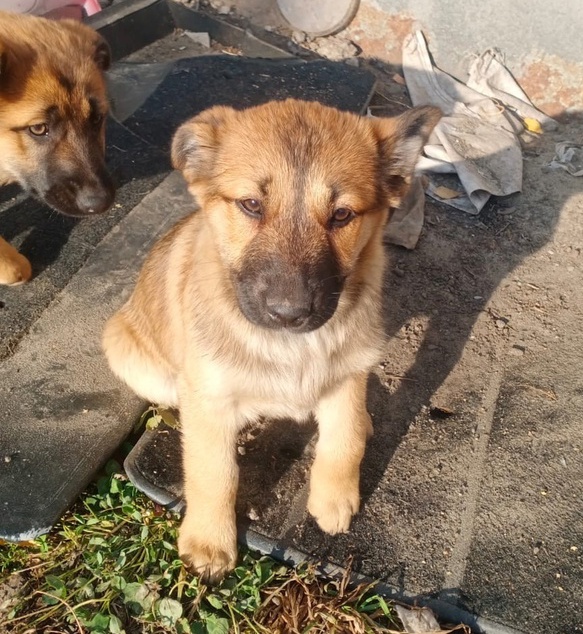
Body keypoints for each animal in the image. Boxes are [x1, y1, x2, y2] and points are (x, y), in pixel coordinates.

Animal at [103, 99, 440, 581]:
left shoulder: (350, 370)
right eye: (250, 205)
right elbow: (214, 472)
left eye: (342, 215)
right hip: (137, 359)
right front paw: (209, 540)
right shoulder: (209, 396)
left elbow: (344, 439)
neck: (292, 348)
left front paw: (334, 497)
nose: (289, 313)